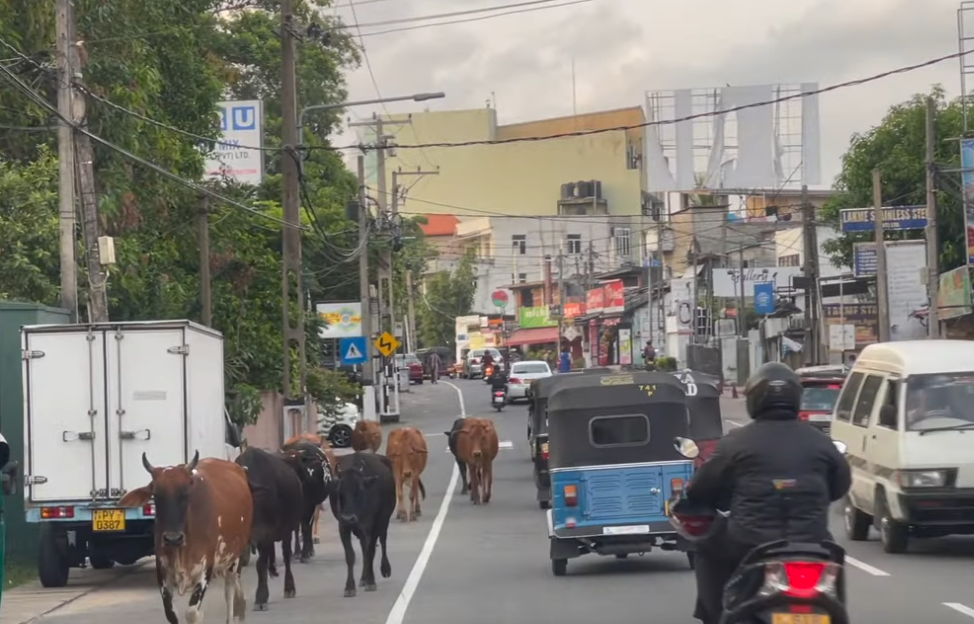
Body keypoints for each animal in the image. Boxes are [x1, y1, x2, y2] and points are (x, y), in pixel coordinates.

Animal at [121, 454, 255, 624]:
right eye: (156, 495)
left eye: (185, 493)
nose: (172, 538)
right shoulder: (162, 570)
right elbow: (171, 613)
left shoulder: (206, 568)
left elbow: (192, 613)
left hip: (234, 558)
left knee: (229, 591)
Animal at [234, 446, 304, 612]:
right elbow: (237, 568)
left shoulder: (263, 533)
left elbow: (261, 565)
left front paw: (261, 597)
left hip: (287, 530)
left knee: (286, 555)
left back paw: (289, 587)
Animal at [280, 436, 334, 564]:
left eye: (296, 465)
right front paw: (292, 553)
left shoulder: (309, 505)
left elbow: (306, 527)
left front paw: (305, 553)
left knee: (309, 525)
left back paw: (309, 550)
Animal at [330, 450, 394, 596]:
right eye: (339, 491)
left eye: (359, 490)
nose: (348, 518)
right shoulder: (343, 528)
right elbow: (350, 556)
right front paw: (349, 587)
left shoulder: (371, 527)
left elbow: (371, 552)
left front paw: (371, 582)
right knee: (364, 548)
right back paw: (363, 578)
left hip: (384, 520)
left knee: (382, 541)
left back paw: (384, 569)